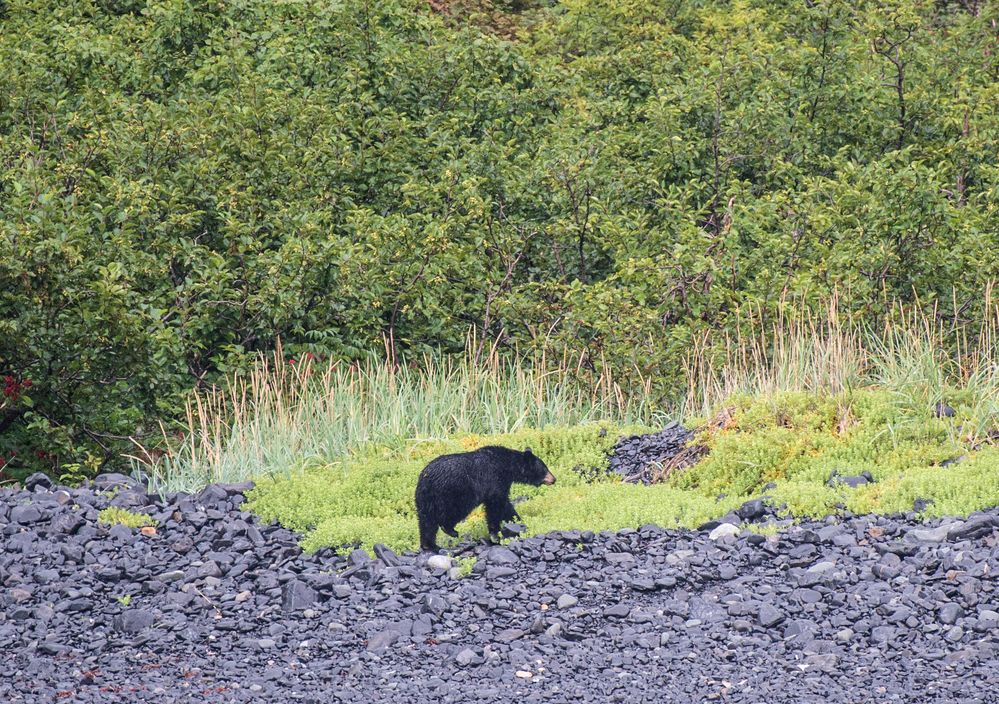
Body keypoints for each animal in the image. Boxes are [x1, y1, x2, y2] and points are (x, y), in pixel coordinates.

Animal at [412, 448, 556, 552]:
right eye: (545, 468)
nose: (554, 479)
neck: (507, 467)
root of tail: (425, 479)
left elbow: (505, 504)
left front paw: (516, 520)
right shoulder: (493, 480)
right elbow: (496, 505)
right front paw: (495, 534)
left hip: (425, 500)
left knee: (426, 522)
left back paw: (430, 545)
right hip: (451, 494)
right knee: (449, 514)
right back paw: (450, 530)